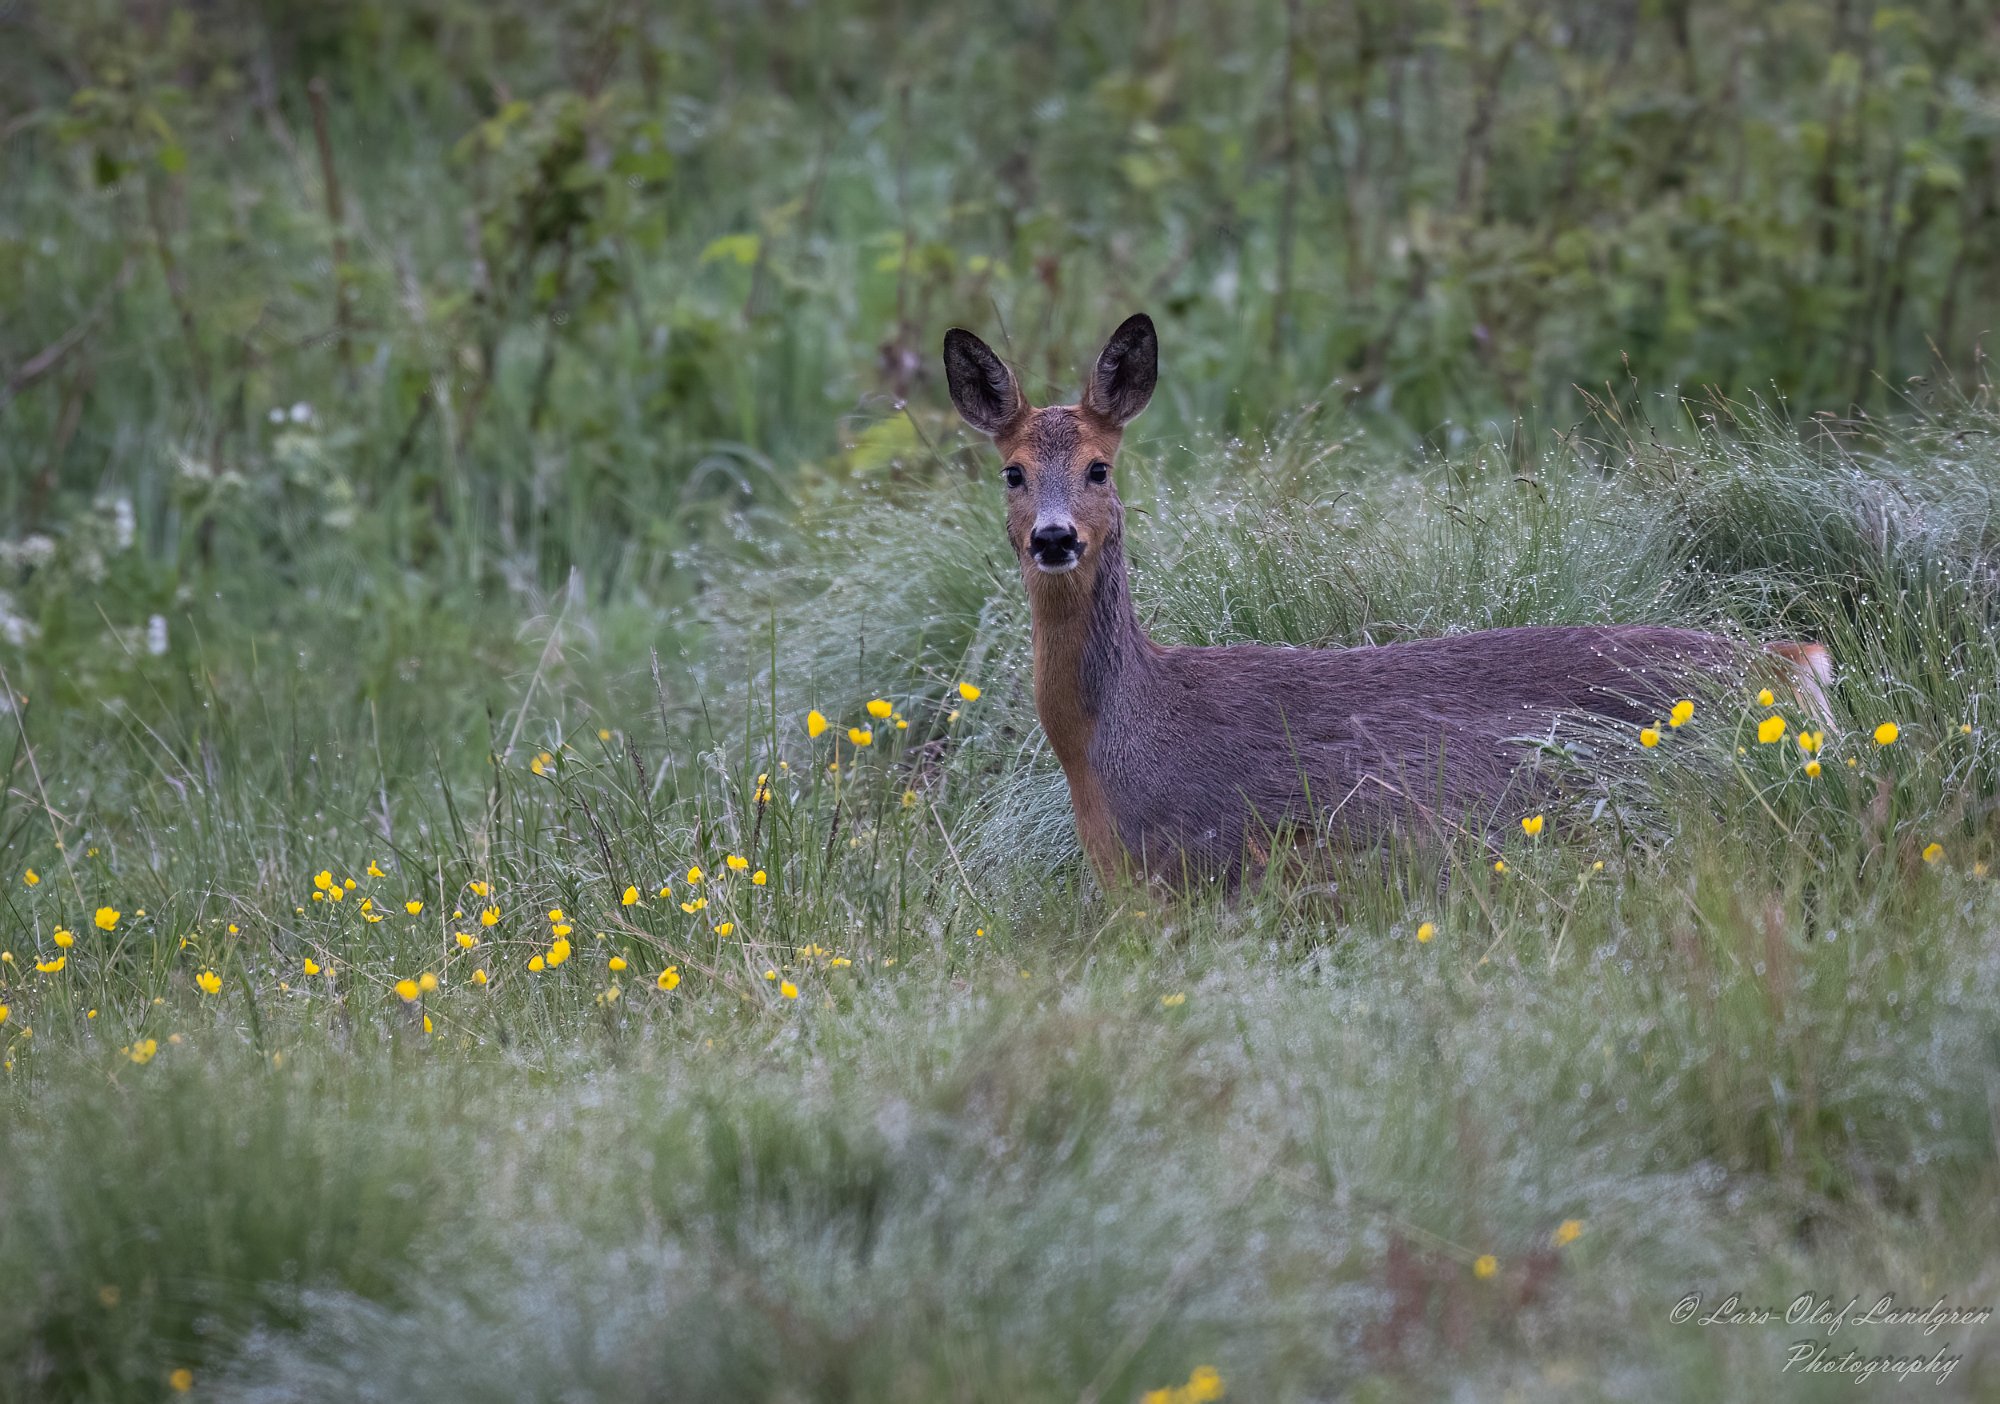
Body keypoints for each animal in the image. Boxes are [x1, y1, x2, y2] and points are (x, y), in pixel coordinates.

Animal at [944, 316, 1832, 892]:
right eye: (1013, 472)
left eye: (1098, 467)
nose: (1054, 538)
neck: (1112, 736)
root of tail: (1792, 663)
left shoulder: (1206, 866)